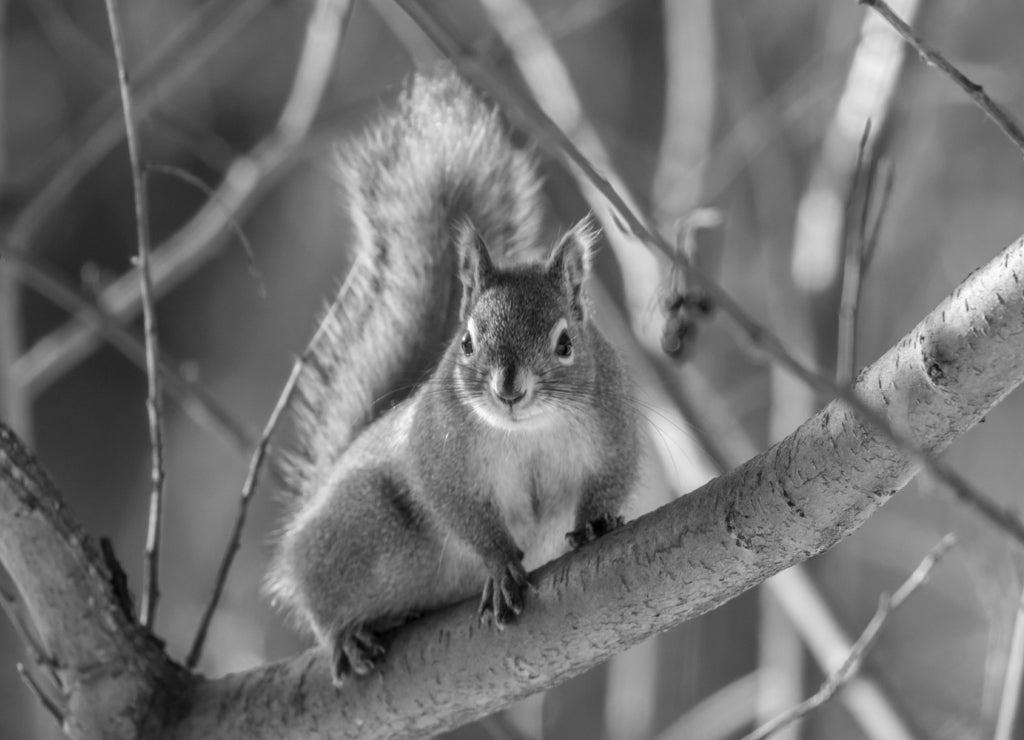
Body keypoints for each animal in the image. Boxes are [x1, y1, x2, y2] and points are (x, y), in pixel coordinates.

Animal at [265, 69, 641, 686]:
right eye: (466, 341)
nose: (509, 390)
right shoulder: (440, 457)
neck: (526, 432)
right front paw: (501, 566)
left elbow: (609, 479)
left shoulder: (614, 427)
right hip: (362, 533)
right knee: (317, 595)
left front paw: (594, 523)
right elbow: (462, 513)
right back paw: (346, 634)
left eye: (565, 343)